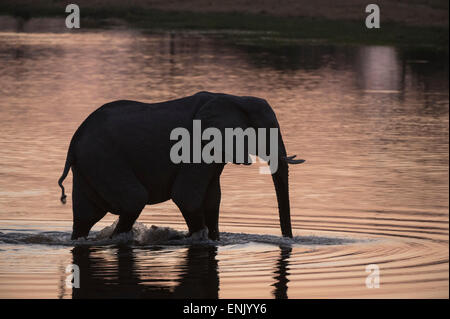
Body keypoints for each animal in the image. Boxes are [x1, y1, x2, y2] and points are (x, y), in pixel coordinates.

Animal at [56, 91, 302, 241]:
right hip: (104, 159)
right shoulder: (198, 145)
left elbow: (213, 198)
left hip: (90, 166)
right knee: (134, 199)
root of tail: (73, 142)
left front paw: (214, 239)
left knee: (85, 216)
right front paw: (197, 238)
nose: (288, 240)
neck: (235, 98)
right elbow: (187, 196)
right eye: (266, 131)